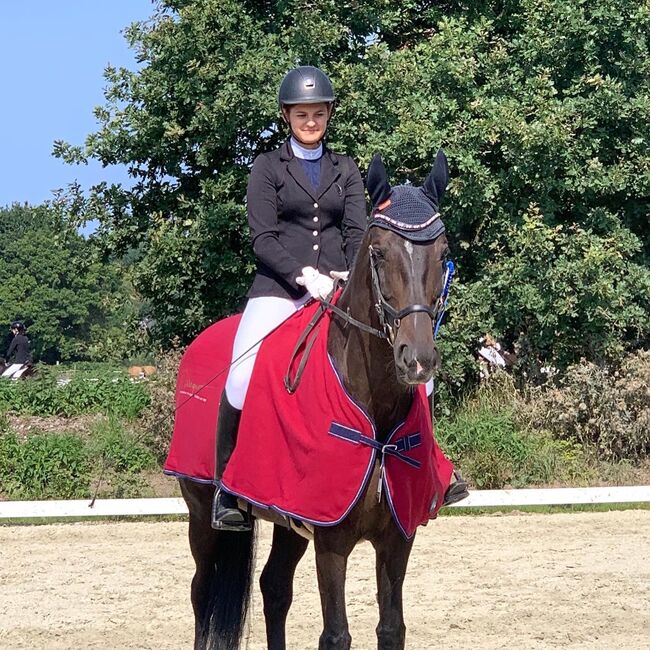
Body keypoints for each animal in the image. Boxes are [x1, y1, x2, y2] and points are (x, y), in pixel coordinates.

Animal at [177, 148, 450, 648]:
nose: (417, 359)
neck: (376, 415)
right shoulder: (331, 540)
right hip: (201, 508)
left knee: (273, 587)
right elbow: (336, 635)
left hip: (288, 518)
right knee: (202, 592)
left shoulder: (397, 539)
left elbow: (391, 629)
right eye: (378, 253)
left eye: (443, 254)